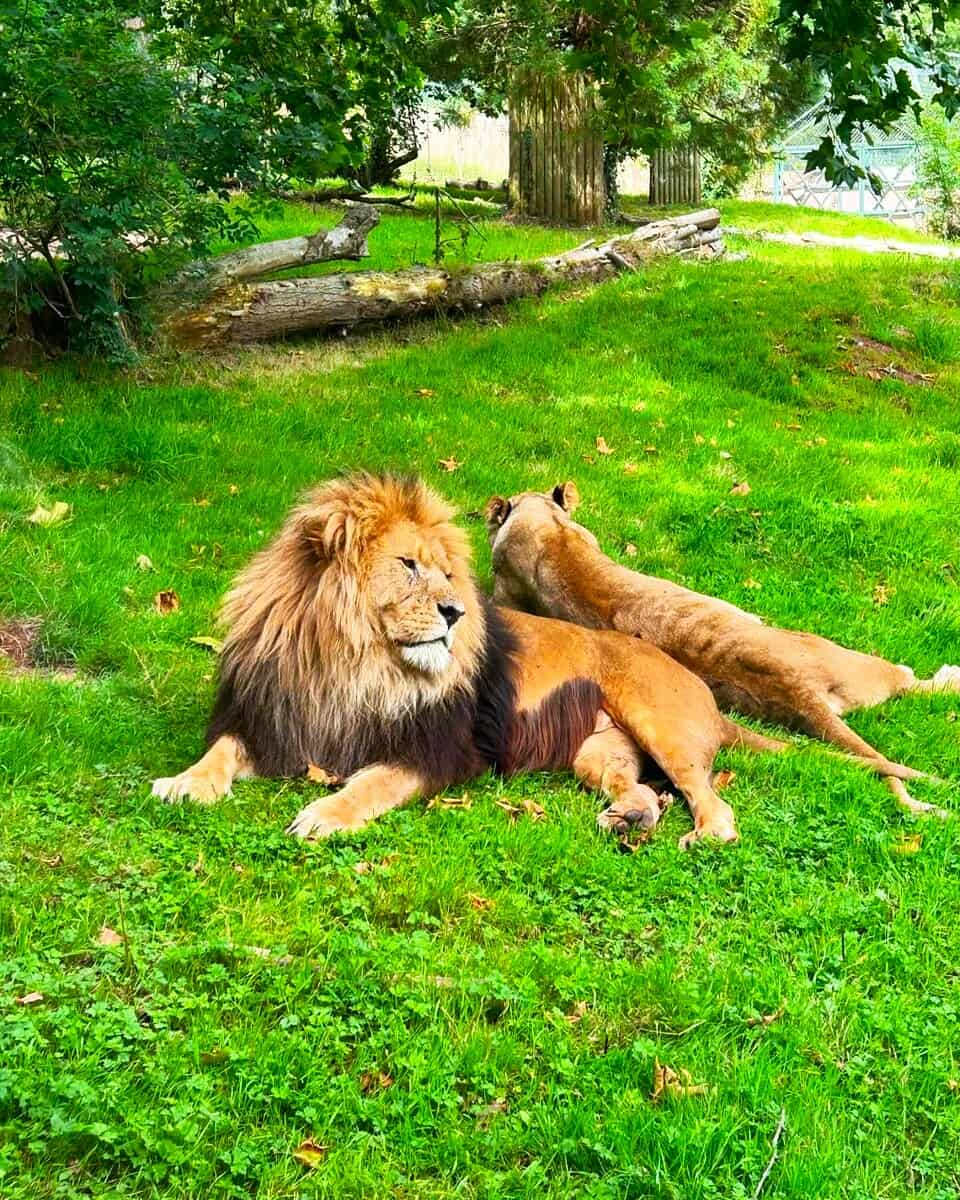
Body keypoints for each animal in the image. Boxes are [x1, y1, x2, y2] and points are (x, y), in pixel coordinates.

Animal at [153, 472, 787, 849]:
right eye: (408, 565)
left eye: (446, 573)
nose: (456, 612)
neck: (351, 662)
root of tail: (705, 694)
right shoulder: (271, 720)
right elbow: (219, 751)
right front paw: (182, 783)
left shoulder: (437, 749)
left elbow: (370, 784)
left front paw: (323, 814)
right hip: (596, 752)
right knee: (645, 792)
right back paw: (629, 818)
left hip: (662, 726)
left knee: (712, 803)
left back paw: (703, 834)